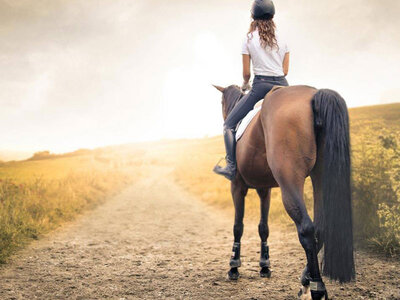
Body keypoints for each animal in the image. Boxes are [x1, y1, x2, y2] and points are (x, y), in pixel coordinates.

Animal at [212, 84, 354, 300]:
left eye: (221, 102)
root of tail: (314, 95)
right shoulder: (264, 189)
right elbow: (263, 227)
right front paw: (264, 266)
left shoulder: (237, 187)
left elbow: (238, 226)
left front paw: (234, 267)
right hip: (320, 175)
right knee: (320, 228)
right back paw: (305, 280)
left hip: (290, 180)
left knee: (306, 228)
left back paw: (316, 287)